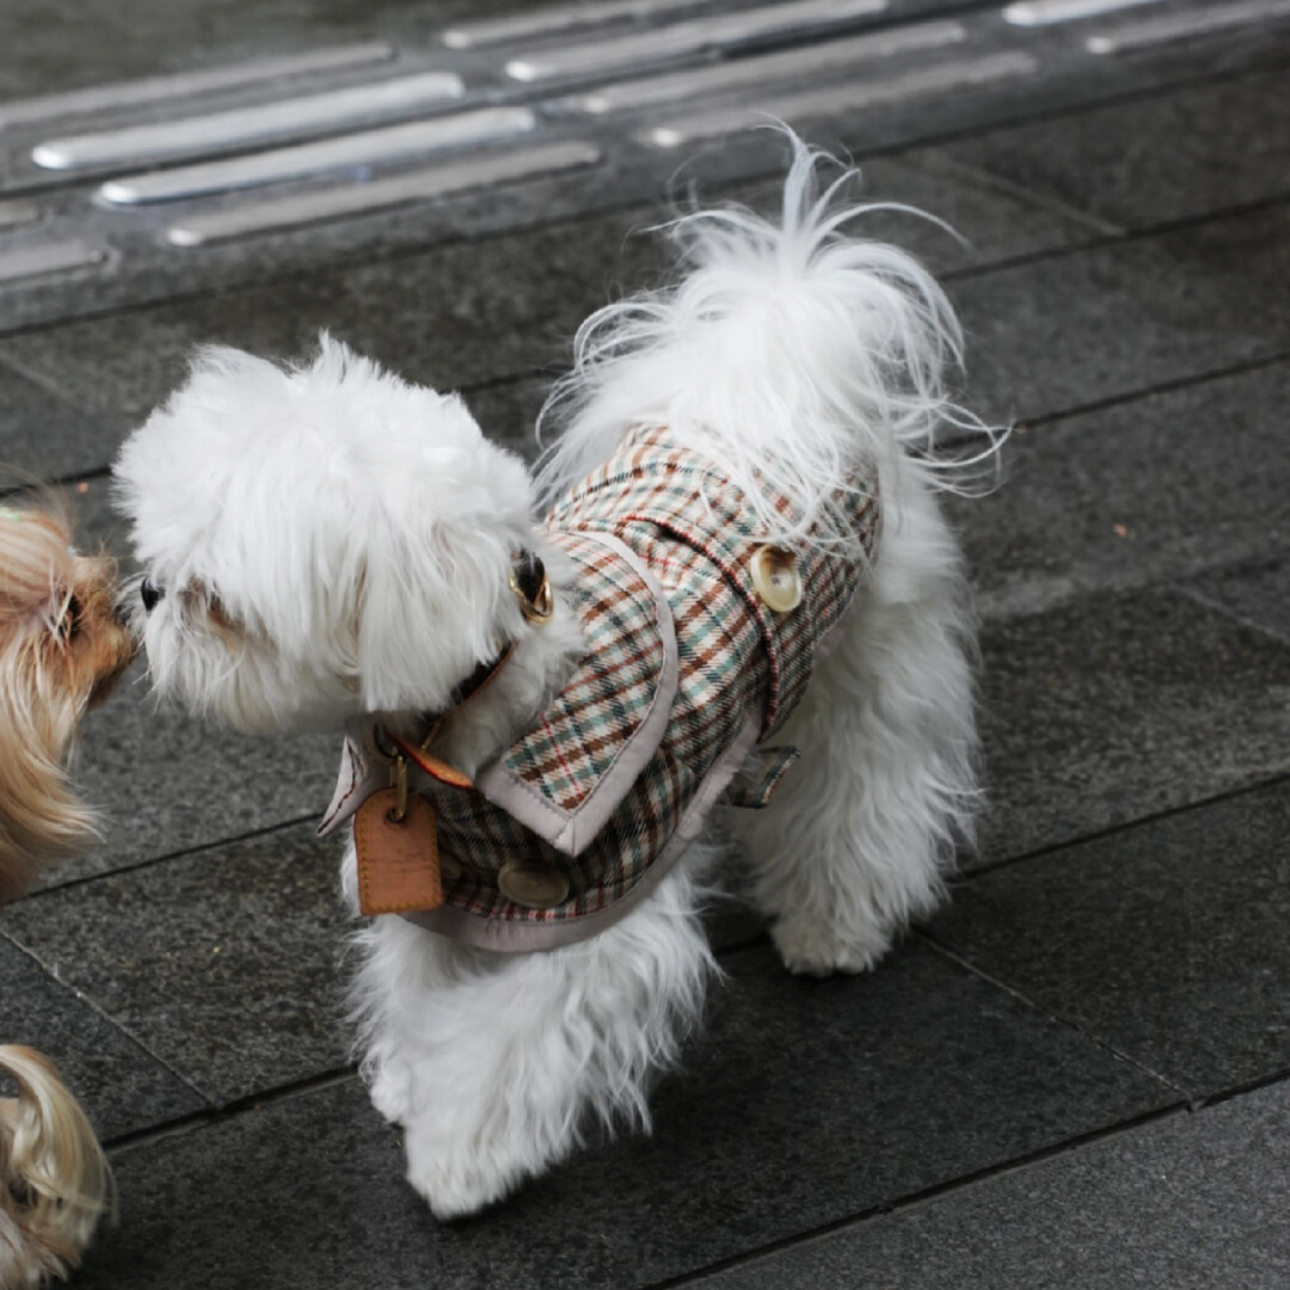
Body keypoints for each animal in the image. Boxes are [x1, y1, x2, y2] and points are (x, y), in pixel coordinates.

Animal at [116, 143, 990, 1217]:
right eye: (159, 557)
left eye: (216, 604)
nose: (146, 592)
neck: (467, 723)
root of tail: (774, 380)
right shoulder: (441, 882)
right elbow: (422, 986)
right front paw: (410, 1078)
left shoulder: (586, 916)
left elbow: (513, 1041)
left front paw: (457, 1159)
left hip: (873, 656)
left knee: (866, 790)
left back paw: (836, 926)